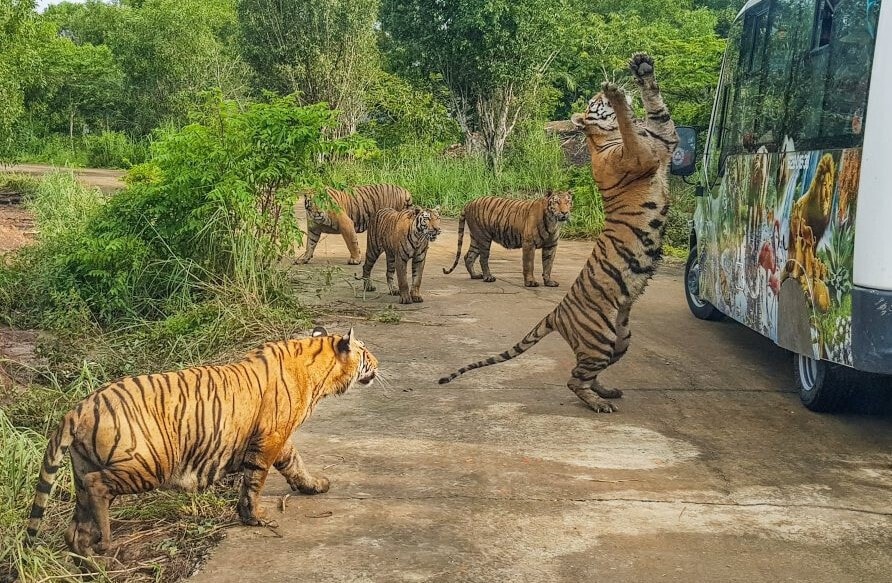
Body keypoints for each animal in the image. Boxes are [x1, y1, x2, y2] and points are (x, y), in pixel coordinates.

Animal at [26, 326, 378, 556]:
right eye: (365, 352)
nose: (378, 363)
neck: (316, 367)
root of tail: (80, 406)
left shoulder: (279, 439)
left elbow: (294, 463)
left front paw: (315, 485)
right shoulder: (270, 437)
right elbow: (255, 480)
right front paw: (255, 517)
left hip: (82, 468)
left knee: (76, 523)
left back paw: (87, 557)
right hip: (149, 463)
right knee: (98, 486)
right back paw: (107, 543)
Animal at [442, 190, 576, 288]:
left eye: (568, 202)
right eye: (557, 202)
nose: (564, 212)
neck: (553, 221)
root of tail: (468, 203)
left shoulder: (551, 246)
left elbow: (548, 265)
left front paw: (549, 282)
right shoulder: (529, 244)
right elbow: (529, 264)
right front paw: (530, 282)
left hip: (476, 237)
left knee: (469, 256)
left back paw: (475, 275)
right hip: (483, 237)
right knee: (483, 259)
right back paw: (488, 277)